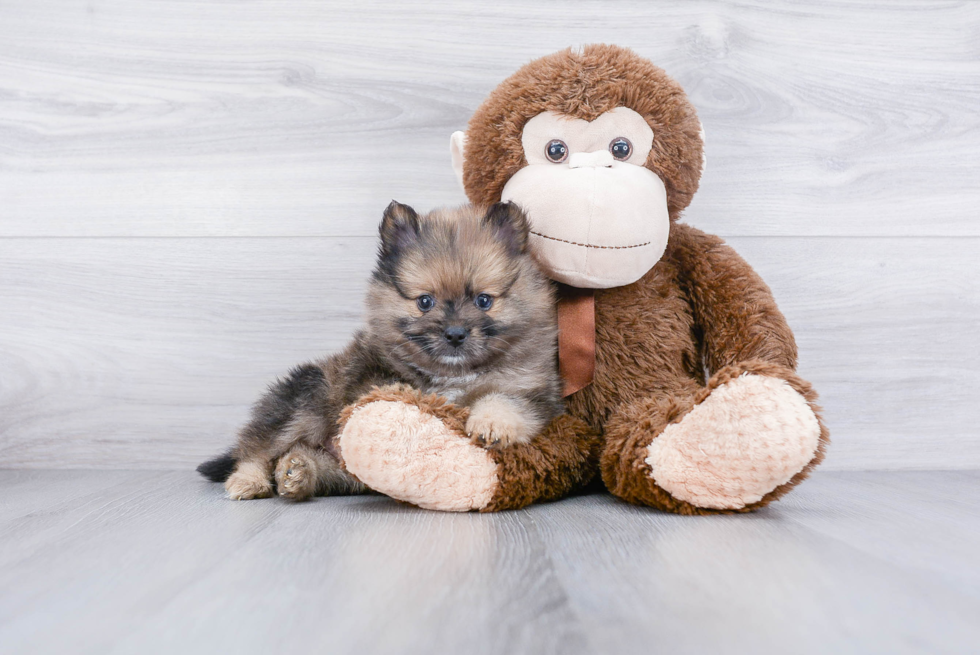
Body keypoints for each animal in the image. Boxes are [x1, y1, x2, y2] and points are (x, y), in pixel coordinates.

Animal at [196, 202, 564, 500]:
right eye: (425, 302)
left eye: (483, 301)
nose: (455, 334)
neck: (453, 373)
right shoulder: (365, 371)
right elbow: (385, 388)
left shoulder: (534, 393)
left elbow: (505, 400)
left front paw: (491, 424)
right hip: (305, 400)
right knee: (256, 449)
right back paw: (250, 480)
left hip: (343, 466)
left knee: (308, 460)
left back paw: (297, 472)